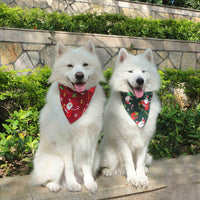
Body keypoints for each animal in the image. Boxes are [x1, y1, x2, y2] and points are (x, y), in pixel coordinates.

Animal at [31, 41, 105, 194]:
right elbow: (69, 166)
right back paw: (55, 185)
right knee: (45, 180)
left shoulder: (89, 139)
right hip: (56, 161)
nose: (79, 75)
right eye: (70, 65)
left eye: (85, 64)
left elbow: (86, 165)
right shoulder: (65, 141)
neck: (78, 99)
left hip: (97, 158)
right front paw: (72, 184)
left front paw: (90, 183)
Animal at [99, 48, 161, 188]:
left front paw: (141, 177)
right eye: (130, 71)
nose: (140, 80)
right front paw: (133, 178)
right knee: (106, 166)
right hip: (108, 154)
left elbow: (139, 162)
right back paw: (107, 171)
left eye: (143, 71)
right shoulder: (123, 140)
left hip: (148, 155)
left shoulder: (144, 141)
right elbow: (129, 161)